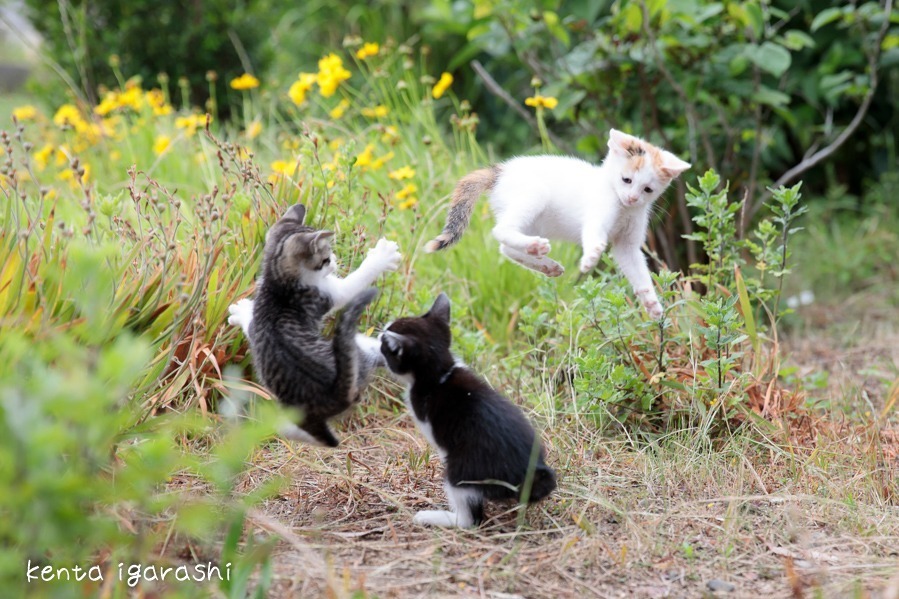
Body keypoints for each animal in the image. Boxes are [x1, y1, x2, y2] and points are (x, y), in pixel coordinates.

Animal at [232, 204, 400, 448]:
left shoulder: (258, 318)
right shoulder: (329, 293)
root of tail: (335, 389)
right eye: (327, 258)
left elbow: (249, 323)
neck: (278, 280)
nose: (336, 260)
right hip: (358, 347)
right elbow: (356, 281)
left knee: (312, 435)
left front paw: (239, 310)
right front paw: (382, 256)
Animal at [380, 292, 556, 528]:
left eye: (385, 347)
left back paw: (436, 517)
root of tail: (528, 470)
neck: (440, 374)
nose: (378, 338)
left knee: (470, 518)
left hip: (461, 468)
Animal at [426, 129, 692, 322]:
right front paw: (590, 258)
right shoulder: (597, 215)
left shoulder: (627, 246)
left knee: (505, 248)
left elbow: (639, 274)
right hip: (534, 197)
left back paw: (545, 262)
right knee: (500, 232)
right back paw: (537, 250)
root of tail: (498, 172)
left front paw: (652, 305)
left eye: (647, 190)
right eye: (626, 180)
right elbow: (594, 236)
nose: (633, 199)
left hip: (534, 221)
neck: (622, 208)